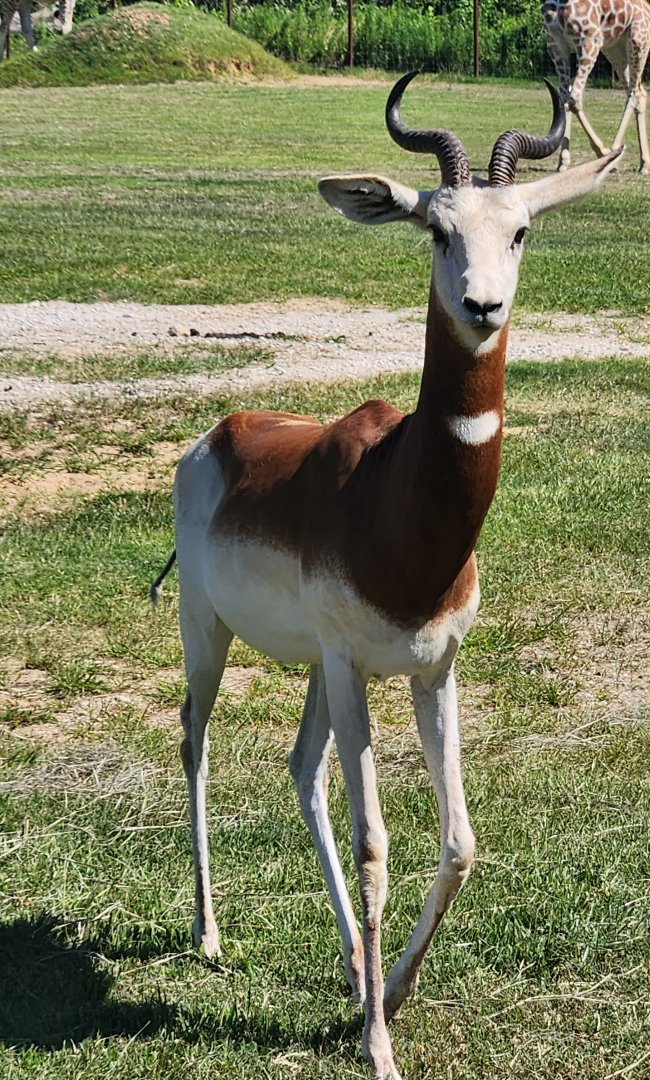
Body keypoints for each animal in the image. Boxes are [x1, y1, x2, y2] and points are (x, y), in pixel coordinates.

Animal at [152, 74, 621, 1080]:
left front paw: (391, 995)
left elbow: (460, 844)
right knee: (194, 741)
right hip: (215, 636)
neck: (404, 506)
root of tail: (220, 432)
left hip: (323, 675)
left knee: (301, 771)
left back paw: (349, 965)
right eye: (437, 229)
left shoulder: (432, 667)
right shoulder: (356, 665)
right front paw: (378, 1045)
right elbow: (376, 847)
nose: (482, 307)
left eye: (521, 229)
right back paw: (209, 935)